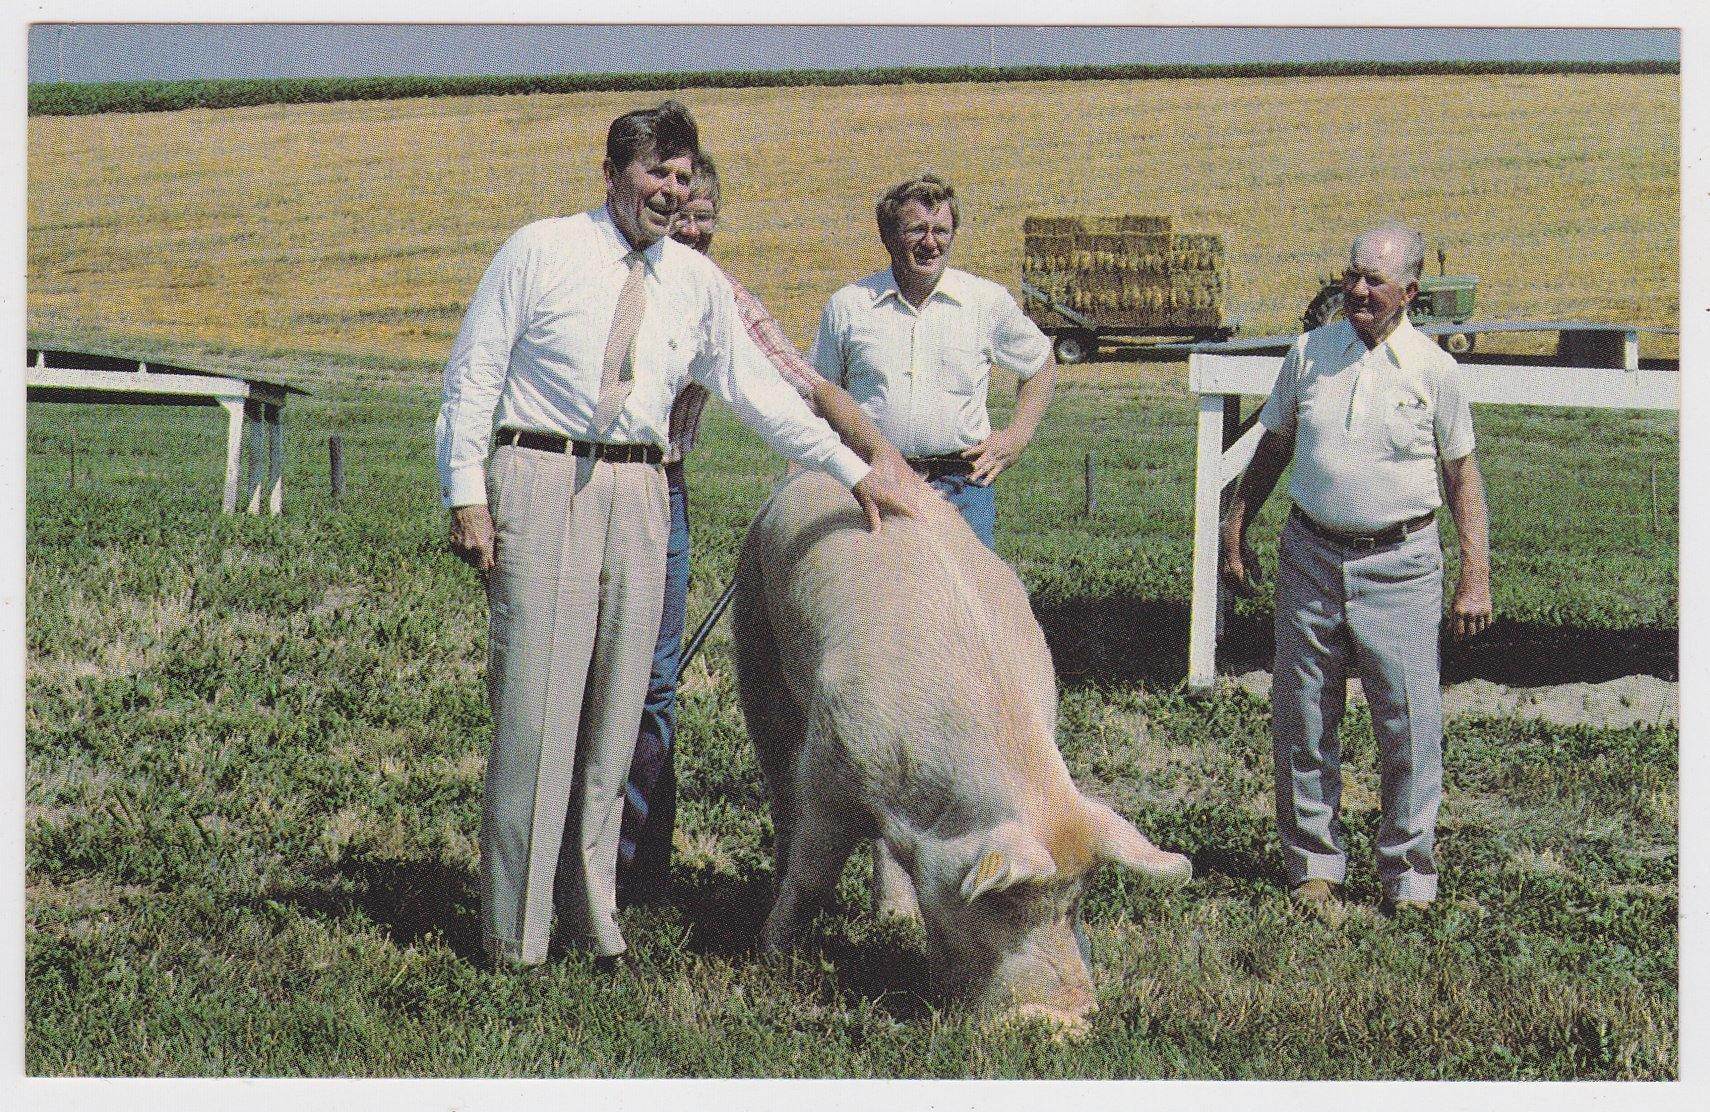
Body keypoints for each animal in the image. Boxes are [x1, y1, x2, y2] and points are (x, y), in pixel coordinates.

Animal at [731, 469, 1192, 1027]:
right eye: (1006, 903)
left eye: (1076, 900)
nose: (1073, 1017)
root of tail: (806, 475)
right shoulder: (829, 770)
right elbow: (812, 878)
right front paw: (768, 957)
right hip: (753, 629)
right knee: (778, 781)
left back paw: (895, 917)